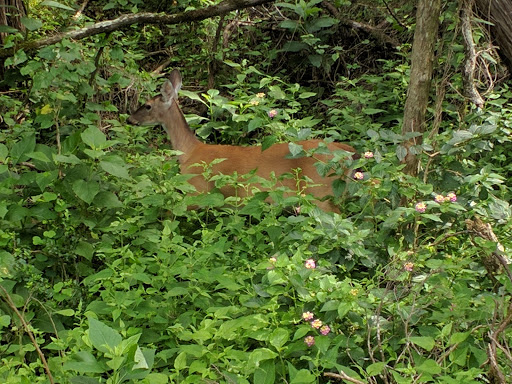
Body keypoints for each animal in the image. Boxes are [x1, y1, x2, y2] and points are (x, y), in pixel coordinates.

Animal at [128, 70, 356, 213]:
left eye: (147, 106)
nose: (129, 119)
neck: (189, 151)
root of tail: (347, 151)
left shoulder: (197, 190)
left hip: (321, 191)